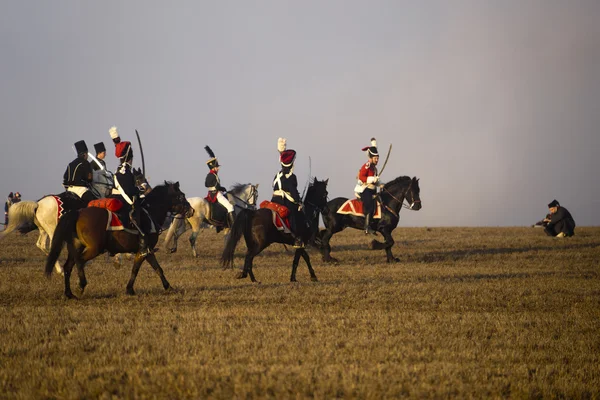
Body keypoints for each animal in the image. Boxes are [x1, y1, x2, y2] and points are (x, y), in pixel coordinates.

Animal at [0, 167, 148, 274]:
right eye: (139, 178)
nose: (146, 189)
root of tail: (37, 204)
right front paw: (119, 259)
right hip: (52, 229)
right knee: (52, 245)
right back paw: (60, 269)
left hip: (43, 230)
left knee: (41, 245)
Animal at [45, 180, 191, 296]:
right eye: (181, 196)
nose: (191, 210)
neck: (151, 212)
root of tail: (78, 212)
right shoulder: (143, 250)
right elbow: (138, 269)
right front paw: (130, 289)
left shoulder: (146, 251)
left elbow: (154, 269)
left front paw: (167, 287)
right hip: (94, 249)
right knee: (80, 262)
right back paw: (81, 286)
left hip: (76, 248)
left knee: (68, 267)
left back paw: (69, 293)